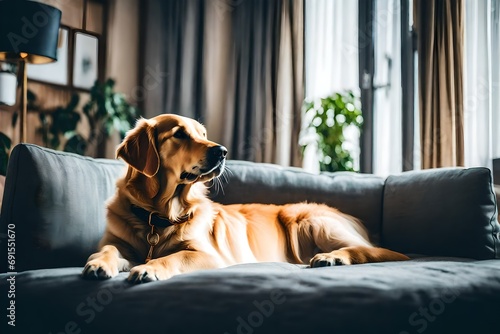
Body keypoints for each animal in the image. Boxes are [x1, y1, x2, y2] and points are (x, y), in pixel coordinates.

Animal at [83, 114, 410, 282]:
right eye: (179, 134)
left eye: (203, 133)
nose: (222, 151)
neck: (158, 214)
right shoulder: (117, 241)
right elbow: (107, 250)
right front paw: (100, 264)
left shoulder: (207, 254)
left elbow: (172, 256)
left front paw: (149, 267)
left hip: (311, 220)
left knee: (373, 251)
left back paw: (332, 258)